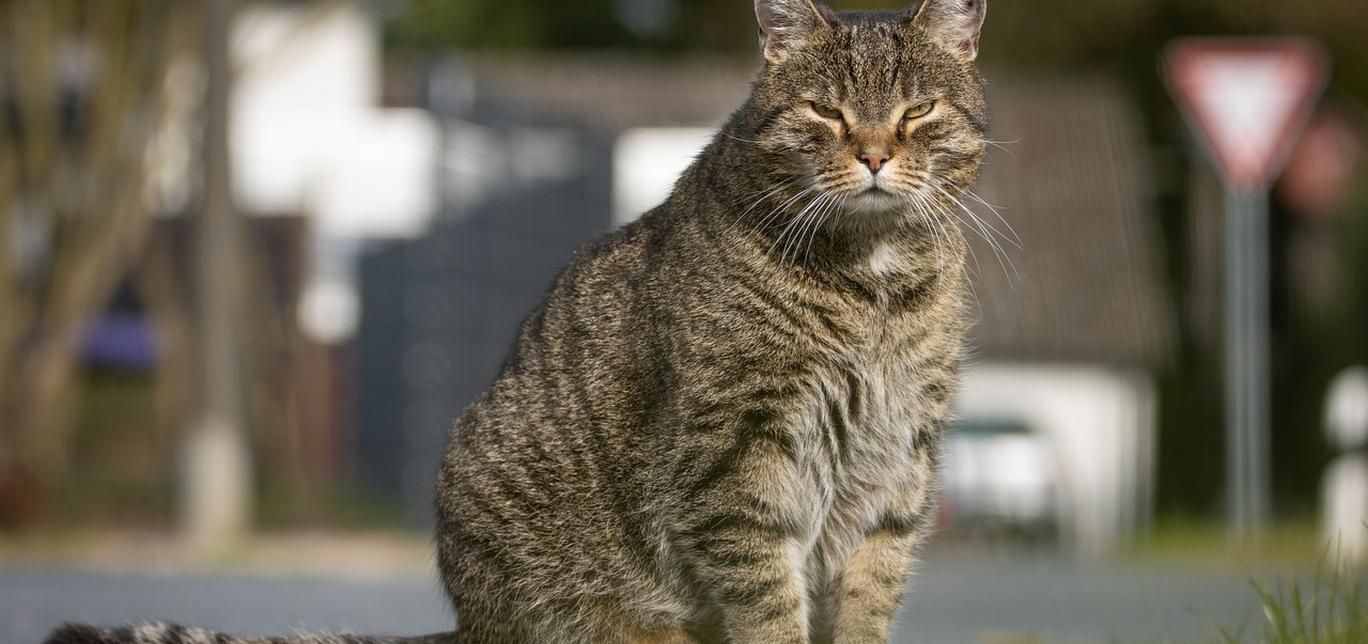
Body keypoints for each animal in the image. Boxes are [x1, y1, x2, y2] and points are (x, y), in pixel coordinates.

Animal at [50, 0, 995, 642]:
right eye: (826, 113)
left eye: (917, 112)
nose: (873, 153)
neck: (872, 285)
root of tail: (469, 628)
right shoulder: (737, 453)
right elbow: (768, 601)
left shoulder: (900, 463)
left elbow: (869, 597)